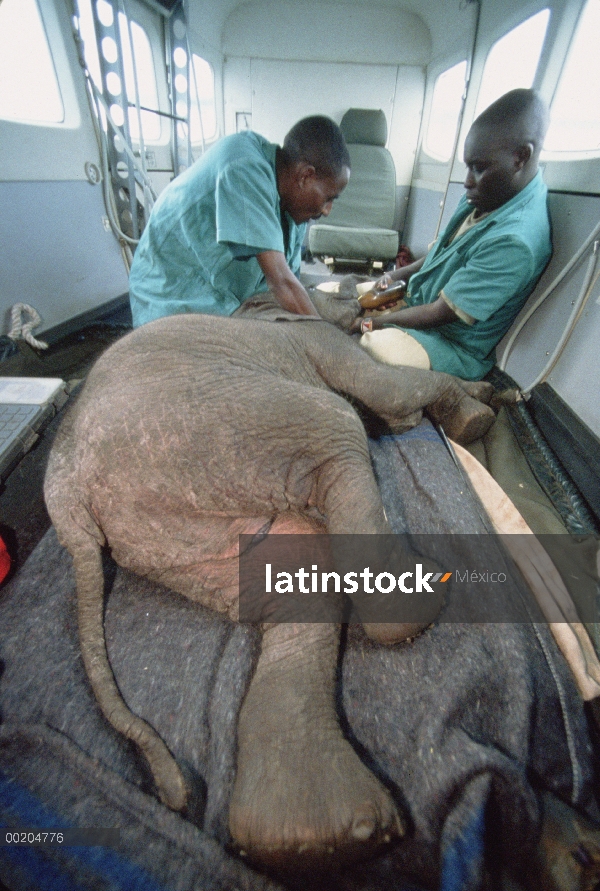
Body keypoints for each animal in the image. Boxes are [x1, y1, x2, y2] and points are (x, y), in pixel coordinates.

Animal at [41, 314, 492, 872]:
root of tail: (65, 493)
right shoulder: (327, 344)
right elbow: (390, 391)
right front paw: (478, 413)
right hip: (225, 426)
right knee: (335, 422)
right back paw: (414, 606)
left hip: (172, 533)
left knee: (302, 570)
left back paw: (309, 836)